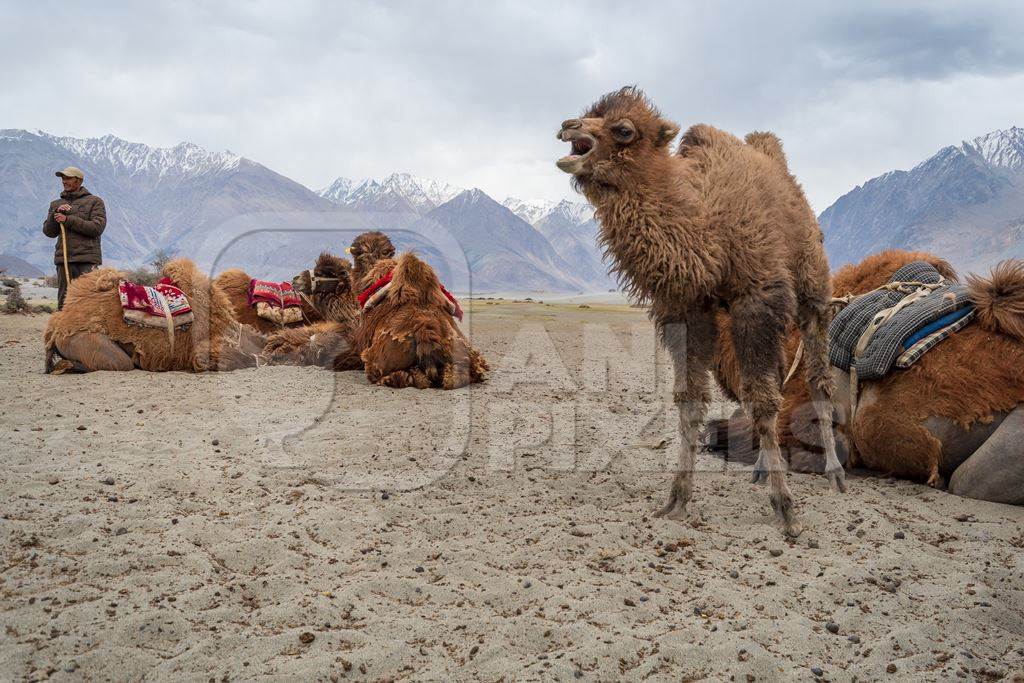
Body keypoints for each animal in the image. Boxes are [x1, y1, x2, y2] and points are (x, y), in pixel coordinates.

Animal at [561, 85, 839, 536]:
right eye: (589, 114)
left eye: (624, 130)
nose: (567, 127)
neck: (707, 227)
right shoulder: (688, 309)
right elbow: (690, 399)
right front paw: (677, 499)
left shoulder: (757, 297)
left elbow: (762, 400)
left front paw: (786, 509)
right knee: (778, 376)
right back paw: (759, 469)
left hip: (812, 286)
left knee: (817, 378)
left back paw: (834, 473)